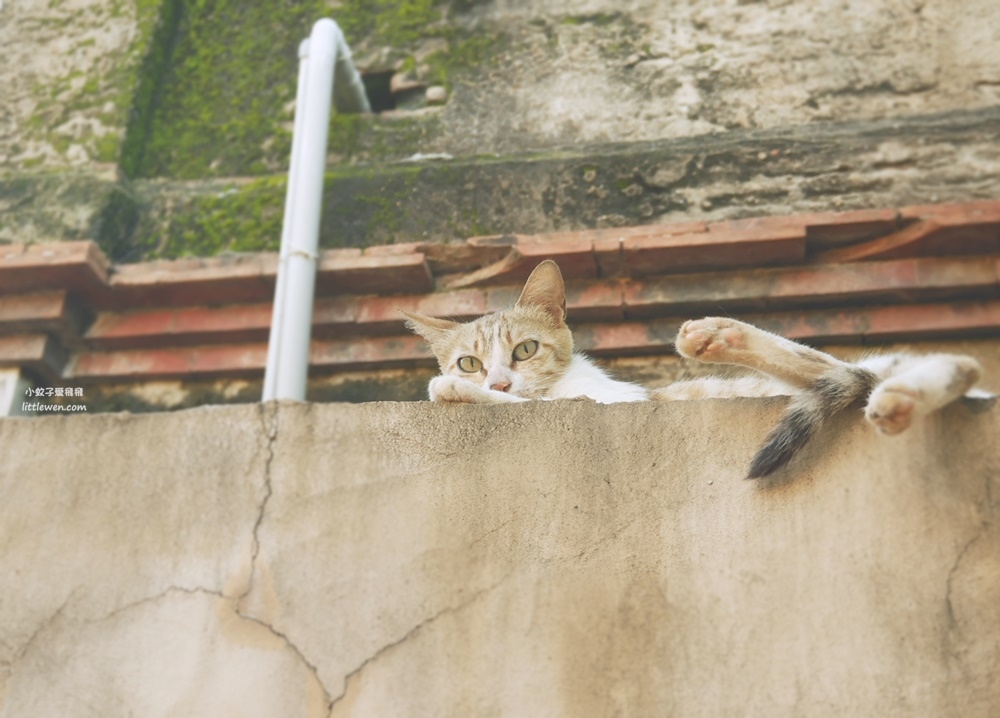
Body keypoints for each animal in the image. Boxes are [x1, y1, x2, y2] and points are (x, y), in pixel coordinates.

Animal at [402, 258, 988, 478]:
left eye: (524, 350)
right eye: (471, 360)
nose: (496, 378)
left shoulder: (600, 403)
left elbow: (529, 404)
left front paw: (452, 390)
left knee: (955, 364)